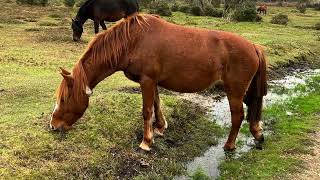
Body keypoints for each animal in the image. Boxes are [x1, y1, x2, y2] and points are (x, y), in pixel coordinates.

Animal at [51, 13, 268, 152]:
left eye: (63, 100)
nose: (53, 125)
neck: (133, 41)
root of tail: (254, 46)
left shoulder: (146, 81)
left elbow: (147, 110)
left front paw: (146, 142)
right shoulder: (152, 82)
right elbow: (156, 104)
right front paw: (161, 128)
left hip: (234, 90)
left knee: (238, 116)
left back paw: (230, 145)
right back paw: (257, 134)